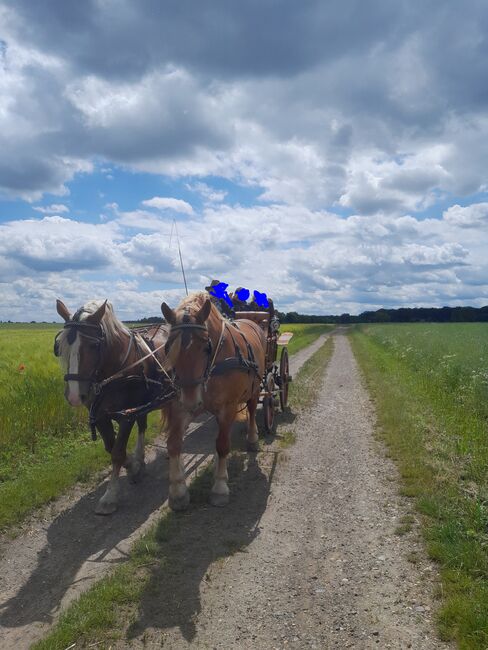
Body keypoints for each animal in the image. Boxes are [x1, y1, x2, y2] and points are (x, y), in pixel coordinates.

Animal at [54, 298, 171, 514]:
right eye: (60, 346)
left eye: (93, 345)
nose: (74, 396)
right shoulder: (101, 414)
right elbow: (111, 447)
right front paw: (134, 466)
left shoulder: (126, 415)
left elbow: (117, 453)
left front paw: (110, 497)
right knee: (142, 426)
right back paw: (140, 458)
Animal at [161, 291, 266, 510]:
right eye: (168, 348)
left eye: (205, 347)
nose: (191, 401)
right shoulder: (181, 408)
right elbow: (173, 444)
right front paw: (177, 491)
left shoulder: (228, 407)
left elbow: (223, 445)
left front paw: (219, 487)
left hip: (254, 390)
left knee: (252, 410)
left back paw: (252, 438)